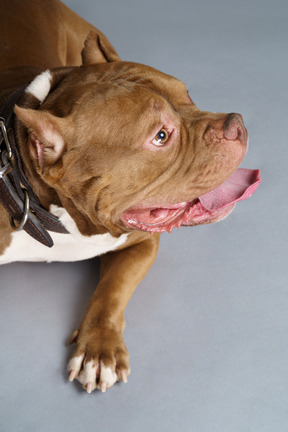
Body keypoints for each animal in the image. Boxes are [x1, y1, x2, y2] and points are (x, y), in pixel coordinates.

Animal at [0, 0, 260, 394]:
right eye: (161, 136)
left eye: (188, 96)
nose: (237, 124)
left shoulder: (140, 242)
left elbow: (113, 289)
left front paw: (99, 350)